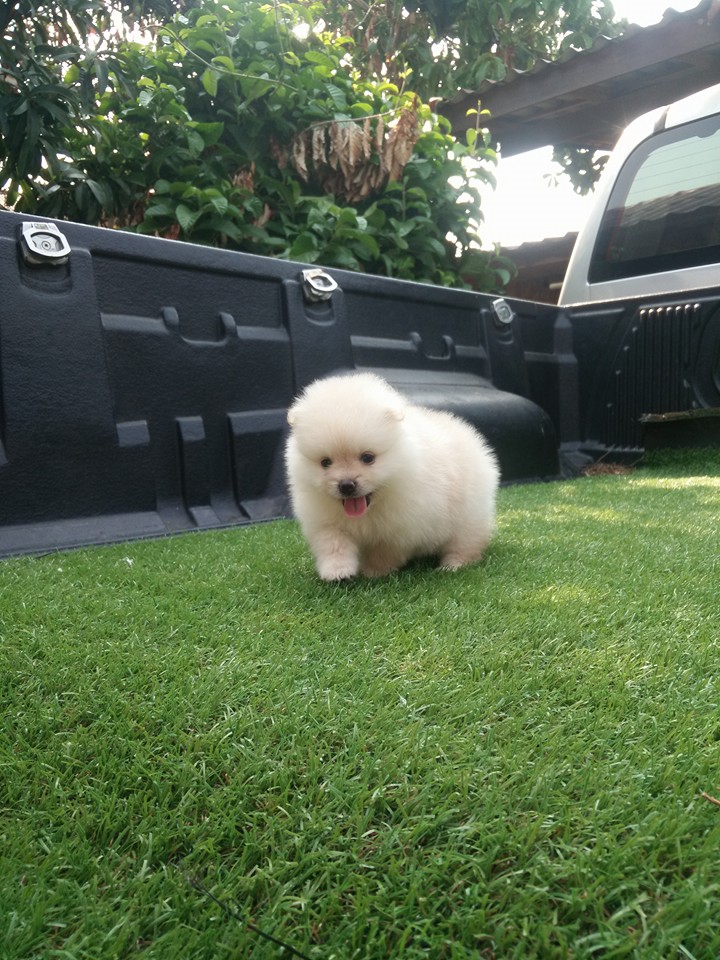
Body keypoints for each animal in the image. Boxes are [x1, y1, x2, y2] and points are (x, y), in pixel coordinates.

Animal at [285, 372, 500, 581]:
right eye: (325, 462)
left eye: (368, 458)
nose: (346, 485)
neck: (369, 511)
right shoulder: (325, 521)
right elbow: (333, 543)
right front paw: (337, 571)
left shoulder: (400, 529)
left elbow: (384, 552)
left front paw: (373, 572)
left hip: (468, 516)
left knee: (465, 542)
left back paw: (452, 565)